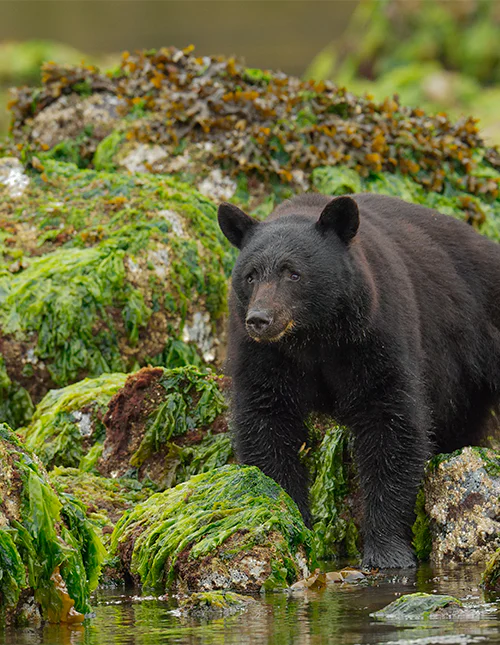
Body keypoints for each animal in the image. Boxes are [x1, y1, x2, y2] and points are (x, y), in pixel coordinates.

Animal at [217, 192, 500, 569]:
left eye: (293, 273)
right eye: (250, 276)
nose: (260, 319)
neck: (312, 337)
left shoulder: (374, 334)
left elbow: (390, 423)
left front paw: (386, 551)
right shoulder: (263, 355)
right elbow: (266, 422)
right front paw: (291, 520)